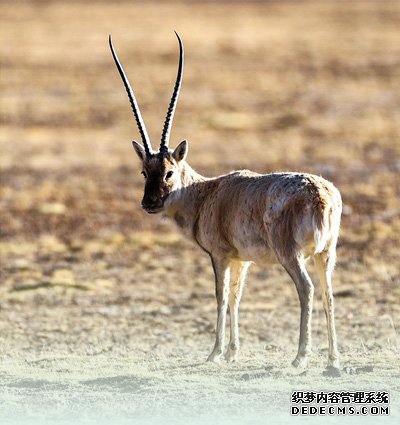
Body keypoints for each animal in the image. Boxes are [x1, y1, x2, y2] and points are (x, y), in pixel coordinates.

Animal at [108, 32, 340, 372]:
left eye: (169, 171)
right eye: (144, 172)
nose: (149, 203)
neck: (206, 193)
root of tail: (320, 195)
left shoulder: (219, 256)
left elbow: (220, 296)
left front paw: (215, 352)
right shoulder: (240, 259)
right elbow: (235, 297)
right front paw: (232, 351)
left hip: (291, 255)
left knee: (307, 288)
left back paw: (300, 357)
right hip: (326, 255)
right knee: (328, 292)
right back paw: (333, 360)